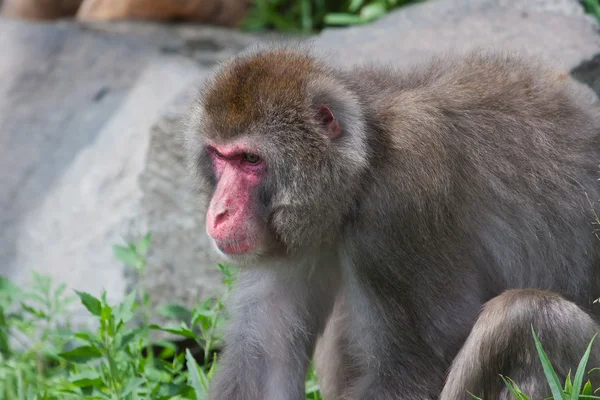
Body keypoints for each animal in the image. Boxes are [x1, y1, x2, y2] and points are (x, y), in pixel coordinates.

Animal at [183, 43, 600, 400]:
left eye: (250, 160)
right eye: (219, 156)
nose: (219, 212)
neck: (364, 165)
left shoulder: (398, 210)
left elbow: (411, 370)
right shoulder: (287, 231)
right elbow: (265, 361)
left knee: (528, 318)